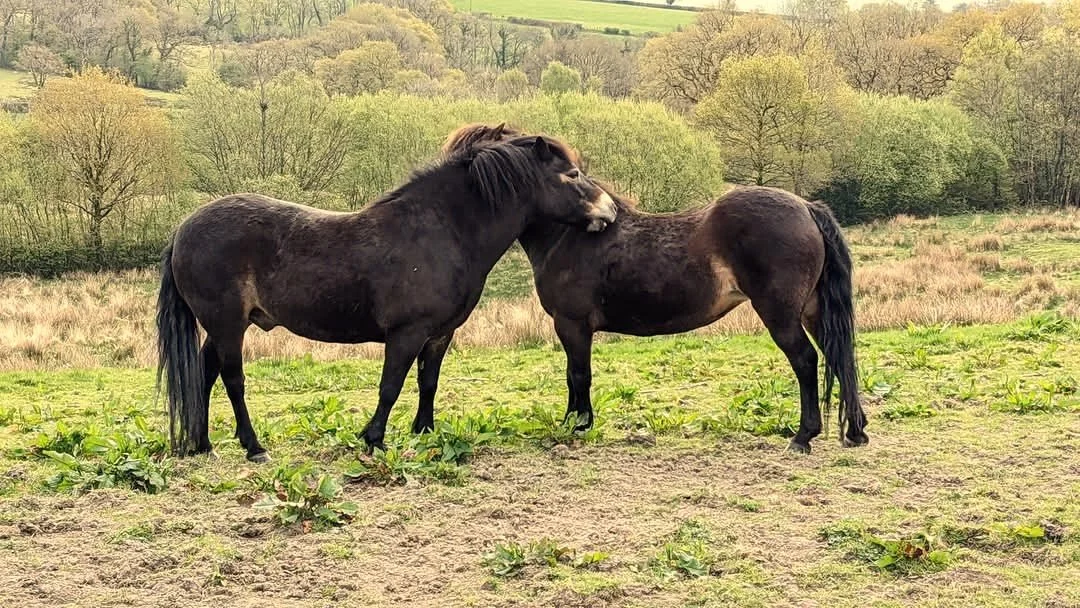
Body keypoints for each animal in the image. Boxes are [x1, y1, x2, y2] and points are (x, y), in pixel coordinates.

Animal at [156, 134, 617, 461]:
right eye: (572, 175)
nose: (610, 211)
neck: (443, 232)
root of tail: (183, 228)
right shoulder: (406, 333)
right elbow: (390, 385)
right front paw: (374, 439)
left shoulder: (439, 334)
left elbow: (428, 382)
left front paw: (424, 432)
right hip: (227, 324)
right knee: (232, 380)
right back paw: (253, 448)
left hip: (224, 326)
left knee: (204, 373)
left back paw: (201, 444)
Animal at [439, 123, 868, 453]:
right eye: (571, 173)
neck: (569, 235)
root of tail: (807, 208)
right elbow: (575, 375)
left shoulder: (572, 324)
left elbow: (577, 374)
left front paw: (576, 424)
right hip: (811, 310)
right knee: (839, 356)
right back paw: (855, 431)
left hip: (780, 314)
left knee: (806, 361)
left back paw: (803, 436)